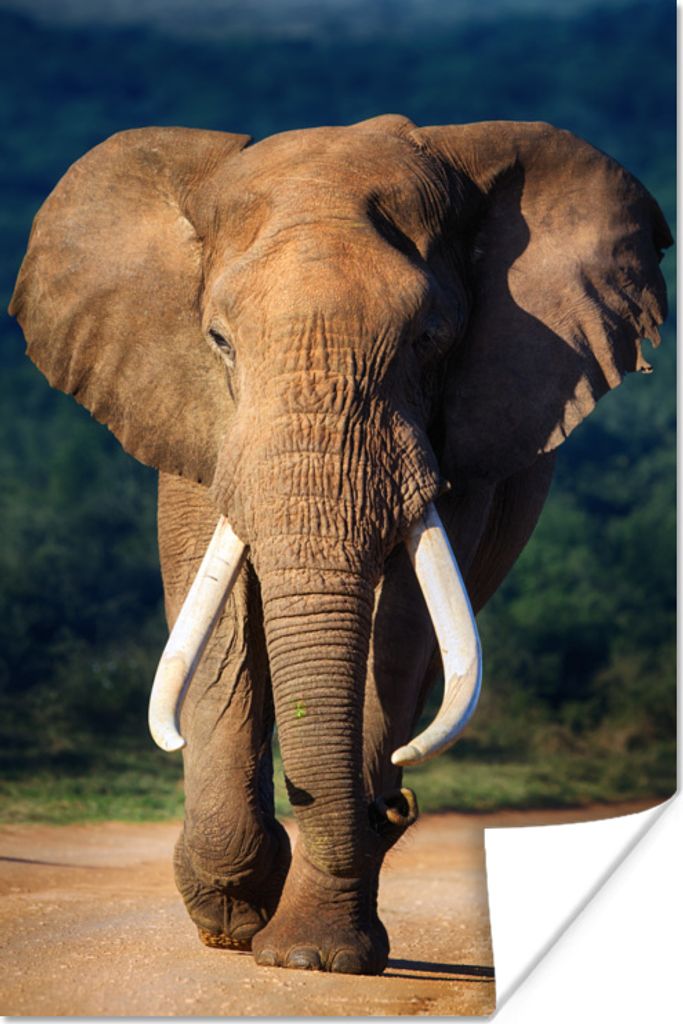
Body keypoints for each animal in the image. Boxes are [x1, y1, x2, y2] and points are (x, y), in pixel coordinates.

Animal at [10, 114, 670, 976]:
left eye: (429, 339)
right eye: (218, 339)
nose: (395, 805)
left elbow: (400, 629)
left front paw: (310, 957)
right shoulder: (188, 413)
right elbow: (218, 617)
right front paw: (236, 916)